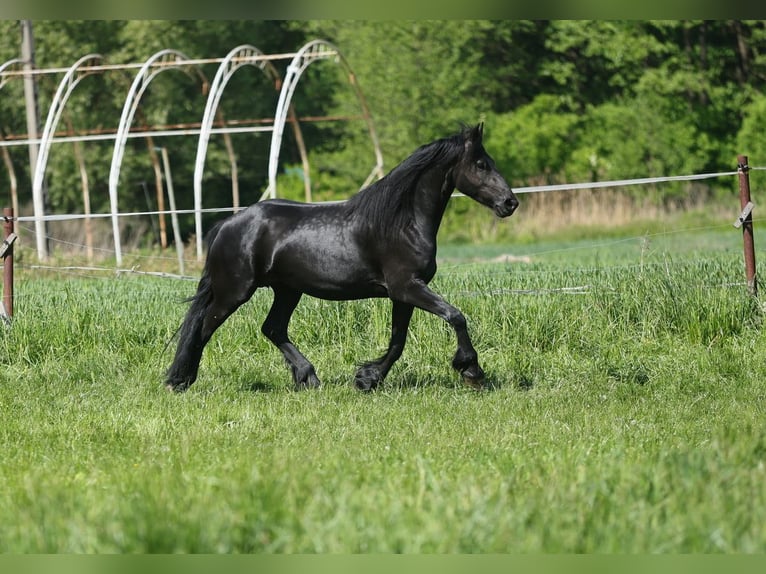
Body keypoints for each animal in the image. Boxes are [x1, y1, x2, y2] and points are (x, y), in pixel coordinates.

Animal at [165, 124, 520, 394]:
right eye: (481, 164)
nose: (510, 202)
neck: (401, 222)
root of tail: (227, 225)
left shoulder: (403, 294)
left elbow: (398, 341)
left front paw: (367, 379)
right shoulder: (408, 287)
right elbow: (455, 316)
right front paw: (471, 370)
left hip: (287, 290)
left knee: (273, 328)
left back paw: (308, 378)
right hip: (234, 292)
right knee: (203, 328)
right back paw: (180, 381)